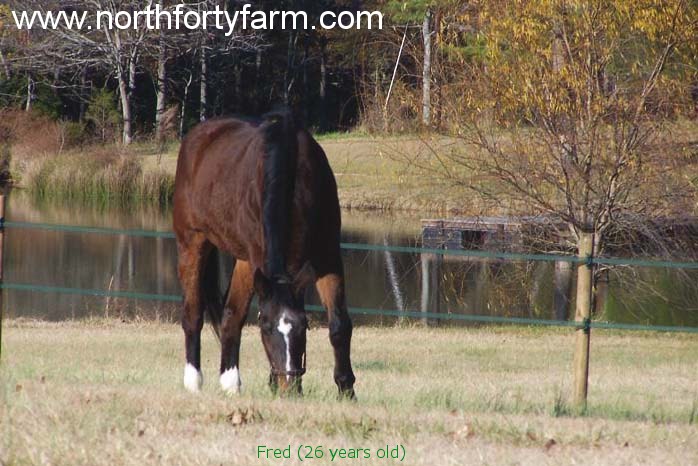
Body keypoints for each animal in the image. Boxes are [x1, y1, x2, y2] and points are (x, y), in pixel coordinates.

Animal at [169, 108, 354, 396]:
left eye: (304, 326)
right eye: (265, 327)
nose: (289, 385)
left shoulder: (327, 256)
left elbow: (339, 324)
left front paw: (346, 390)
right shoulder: (258, 258)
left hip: (243, 261)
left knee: (230, 315)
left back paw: (230, 382)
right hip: (192, 243)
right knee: (193, 313)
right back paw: (194, 380)